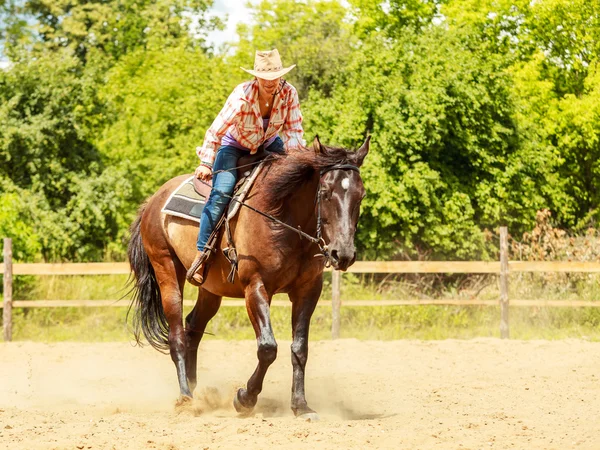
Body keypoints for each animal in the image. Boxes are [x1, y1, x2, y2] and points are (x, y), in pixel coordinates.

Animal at [129, 135, 368, 420]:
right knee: (176, 336)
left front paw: (301, 406)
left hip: (211, 289)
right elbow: (267, 348)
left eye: (361, 195)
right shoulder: (255, 287)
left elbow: (300, 349)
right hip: (166, 270)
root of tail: (153, 201)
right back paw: (186, 399)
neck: (281, 216)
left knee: (192, 329)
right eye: (325, 193)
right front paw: (245, 398)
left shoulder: (308, 290)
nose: (343, 253)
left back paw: (196, 391)